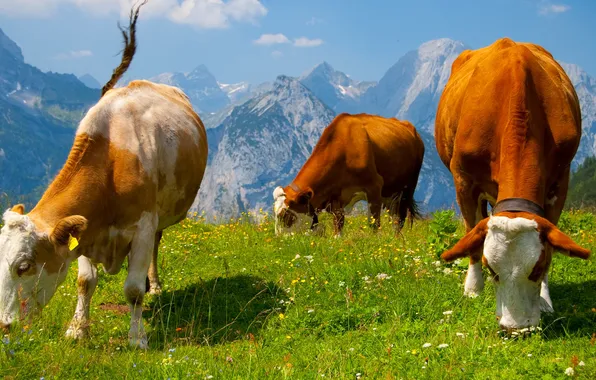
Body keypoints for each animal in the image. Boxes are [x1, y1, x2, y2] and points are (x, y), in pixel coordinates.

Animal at [0, 2, 207, 348]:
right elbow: (85, 281)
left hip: (159, 217)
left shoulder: (142, 226)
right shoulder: (85, 229)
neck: (110, 165)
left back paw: (155, 285)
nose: (4, 325)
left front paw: (137, 339)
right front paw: (77, 329)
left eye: (24, 266)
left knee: (156, 246)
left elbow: (133, 290)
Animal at [272, 113, 426, 236]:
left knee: (399, 219)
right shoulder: (335, 198)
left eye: (285, 215)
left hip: (407, 189)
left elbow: (374, 223)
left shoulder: (374, 187)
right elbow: (338, 226)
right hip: (390, 194)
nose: (280, 239)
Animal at [434, 37, 592, 332]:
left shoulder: (560, 181)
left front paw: (545, 300)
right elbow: (472, 234)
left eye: (538, 267)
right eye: (492, 269)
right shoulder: (463, 180)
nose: (517, 328)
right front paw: (473, 288)